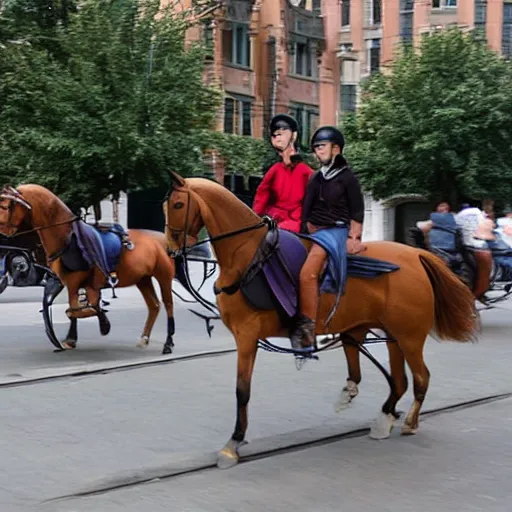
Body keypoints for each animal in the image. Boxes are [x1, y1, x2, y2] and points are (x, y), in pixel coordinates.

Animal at [0, 182, 176, 354]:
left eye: (7, 206)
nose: (2, 234)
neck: (67, 239)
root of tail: (162, 238)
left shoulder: (83, 284)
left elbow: (77, 309)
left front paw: (103, 324)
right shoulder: (72, 284)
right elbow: (76, 309)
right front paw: (71, 338)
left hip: (163, 276)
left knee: (168, 304)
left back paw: (168, 343)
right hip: (143, 279)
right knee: (154, 306)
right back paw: (144, 339)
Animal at [162, 174, 478, 470]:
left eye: (178, 204)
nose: (170, 250)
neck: (247, 256)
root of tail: (416, 254)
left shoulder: (247, 336)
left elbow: (242, 391)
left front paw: (233, 444)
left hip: (410, 337)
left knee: (421, 377)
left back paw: (410, 421)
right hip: (387, 335)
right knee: (397, 380)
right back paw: (383, 417)